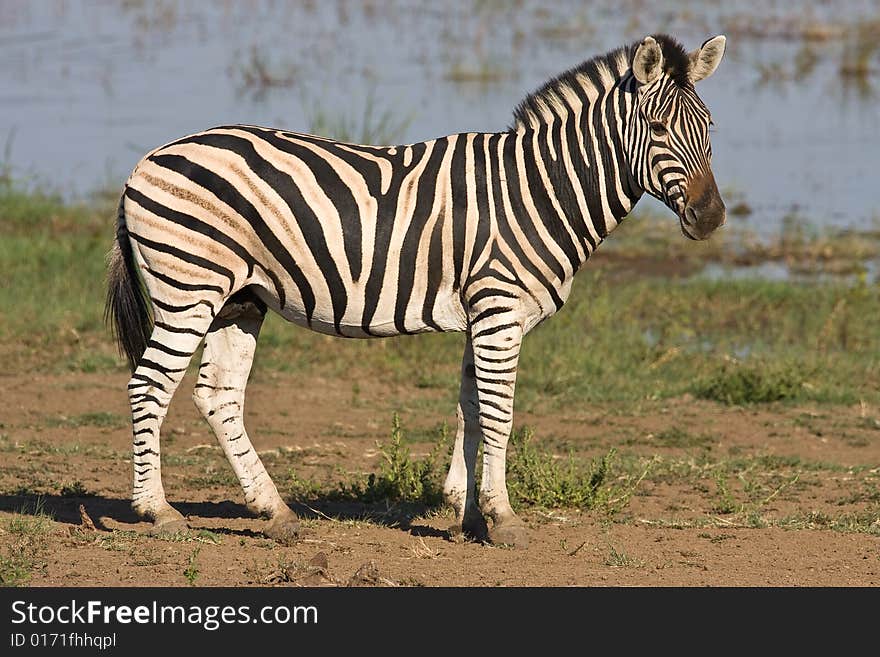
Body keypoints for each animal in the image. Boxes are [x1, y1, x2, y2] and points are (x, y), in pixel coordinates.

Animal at [106, 36, 724, 548]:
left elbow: (471, 408)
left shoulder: (483, 313)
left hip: (239, 299)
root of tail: (145, 161)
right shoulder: (499, 309)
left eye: (710, 127)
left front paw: (467, 513)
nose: (713, 217)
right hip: (190, 287)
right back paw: (158, 512)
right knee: (149, 385)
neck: (541, 190)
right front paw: (504, 519)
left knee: (218, 395)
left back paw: (273, 511)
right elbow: (499, 414)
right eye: (660, 130)